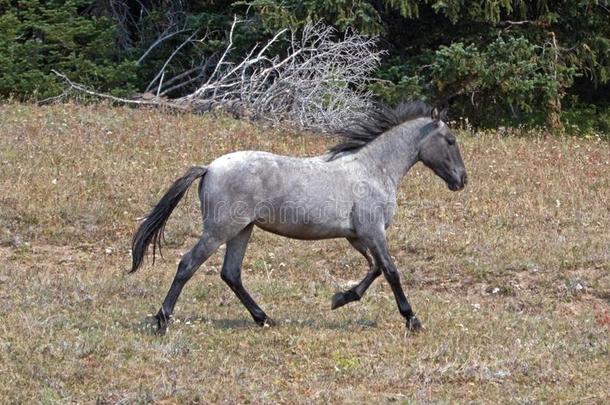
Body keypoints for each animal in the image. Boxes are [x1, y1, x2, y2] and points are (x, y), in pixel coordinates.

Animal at [131, 101, 468, 334]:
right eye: (450, 140)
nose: (462, 180)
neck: (372, 170)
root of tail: (209, 168)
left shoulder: (358, 235)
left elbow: (374, 268)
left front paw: (341, 298)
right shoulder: (373, 231)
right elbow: (390, 270)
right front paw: (412, 320)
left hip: (242, 230)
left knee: (231, 274)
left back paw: (264, 318)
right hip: (220, 231)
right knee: (187, 265)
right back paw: (162, 321)